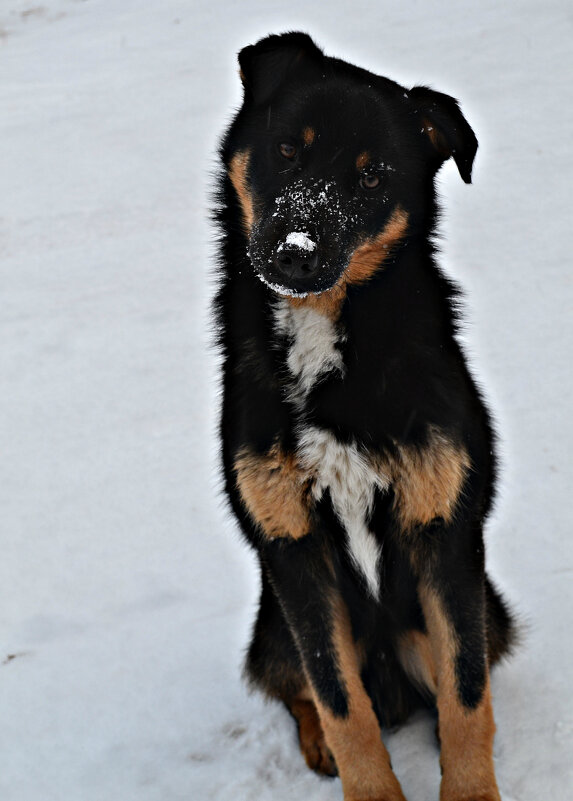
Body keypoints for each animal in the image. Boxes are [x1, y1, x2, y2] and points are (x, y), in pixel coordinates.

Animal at [213, 31, 512, 800]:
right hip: (271, 628)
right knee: (298, 688)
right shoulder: (293, 551)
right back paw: (316, 741)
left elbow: (466, 693)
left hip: (484, 608)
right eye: (287, 149)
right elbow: (339, 700)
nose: (295, 253)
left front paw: (469, 787)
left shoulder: (445, 535)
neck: (323, 331)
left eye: (373, 177)